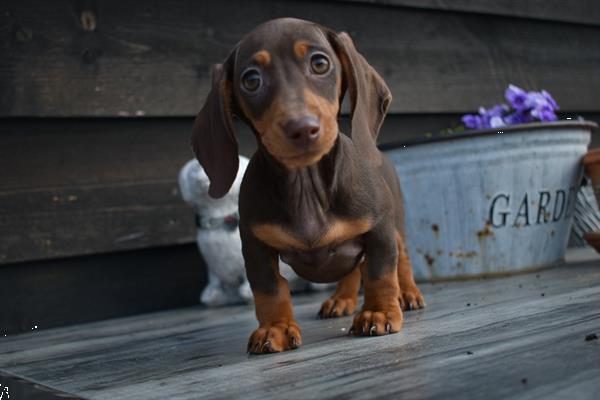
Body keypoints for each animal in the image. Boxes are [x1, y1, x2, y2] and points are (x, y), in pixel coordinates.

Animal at [190, 16, 424, 354]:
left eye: (320, 63)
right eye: (251, 80)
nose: (301, 128)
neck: (306, 187)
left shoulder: (379, 230)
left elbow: (380, 273)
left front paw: (379, 312)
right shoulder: (255, 247)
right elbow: (269, 289)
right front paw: (275, 328)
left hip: (396, 227)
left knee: (400, 260)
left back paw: (407, 294)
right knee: (353, 269)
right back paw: (342, 299)